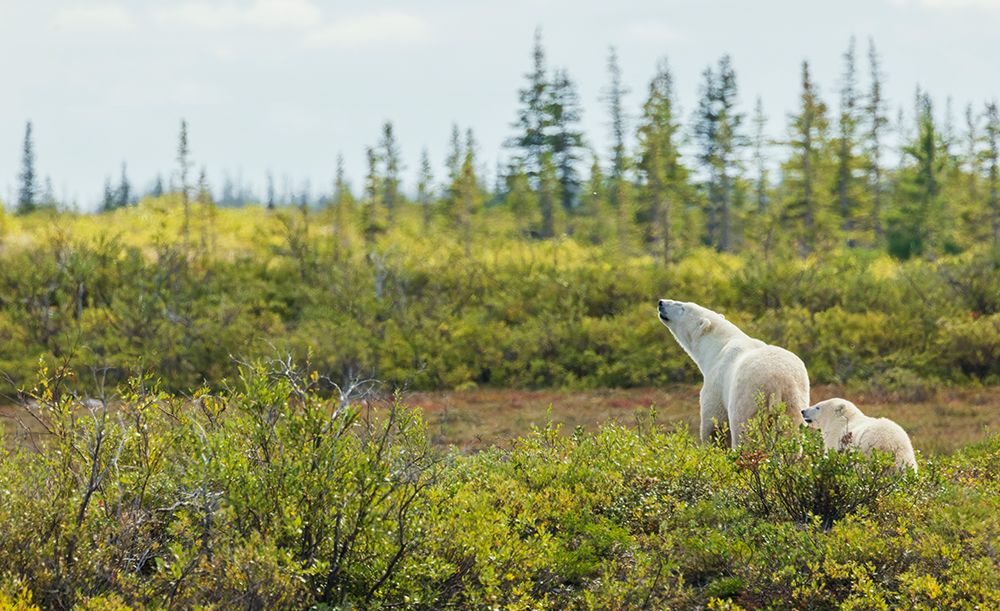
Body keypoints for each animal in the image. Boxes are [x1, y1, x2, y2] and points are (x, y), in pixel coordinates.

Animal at [657, 299, 810, 447]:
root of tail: (778, 381)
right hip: (793, 396)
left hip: (748, 396)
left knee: (744, 431)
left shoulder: (717, 383)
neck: (719, 346)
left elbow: (714, 426)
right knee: (791, 430)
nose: (661, 302)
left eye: (682, 307)